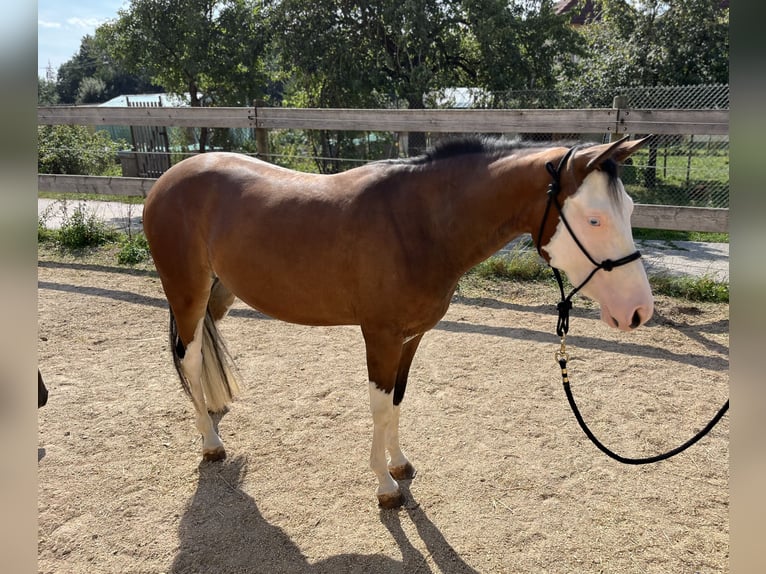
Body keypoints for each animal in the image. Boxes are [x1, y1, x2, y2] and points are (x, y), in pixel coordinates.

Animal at [142, 134, 656, 508]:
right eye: (594, 219)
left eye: (629, 210)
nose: (639, 311)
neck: (419, 225)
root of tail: (169, 178)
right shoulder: (381, 337)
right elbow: (379, 405)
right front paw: (385, 487)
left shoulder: (411, 338)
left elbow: (397, 402)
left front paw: (399, 465)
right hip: (188, 294)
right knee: (189, 359)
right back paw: (211, 442)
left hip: (219, 293)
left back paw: (213, 412)